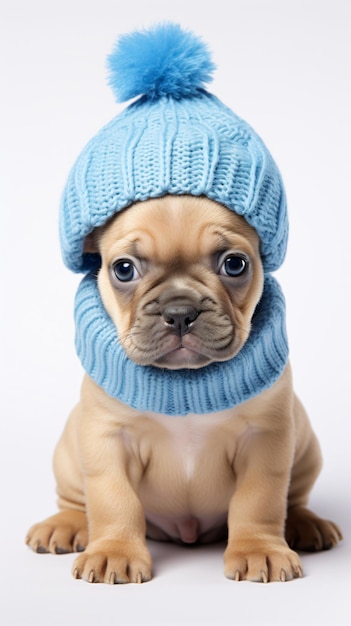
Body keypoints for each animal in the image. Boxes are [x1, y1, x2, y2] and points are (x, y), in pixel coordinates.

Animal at [26, 194, 344, 580]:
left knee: (292, 498)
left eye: (235, 264)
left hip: (307, 447)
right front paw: (114, 551)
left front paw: (259, 549)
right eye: (124, 269)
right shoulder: (108, 439)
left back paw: (305, 523)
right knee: (76, 499)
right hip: (69, 455)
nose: (180, 311)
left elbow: (259, 498)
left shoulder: (264, 439)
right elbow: (113, 499)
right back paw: (66, 524)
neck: (185, 382)